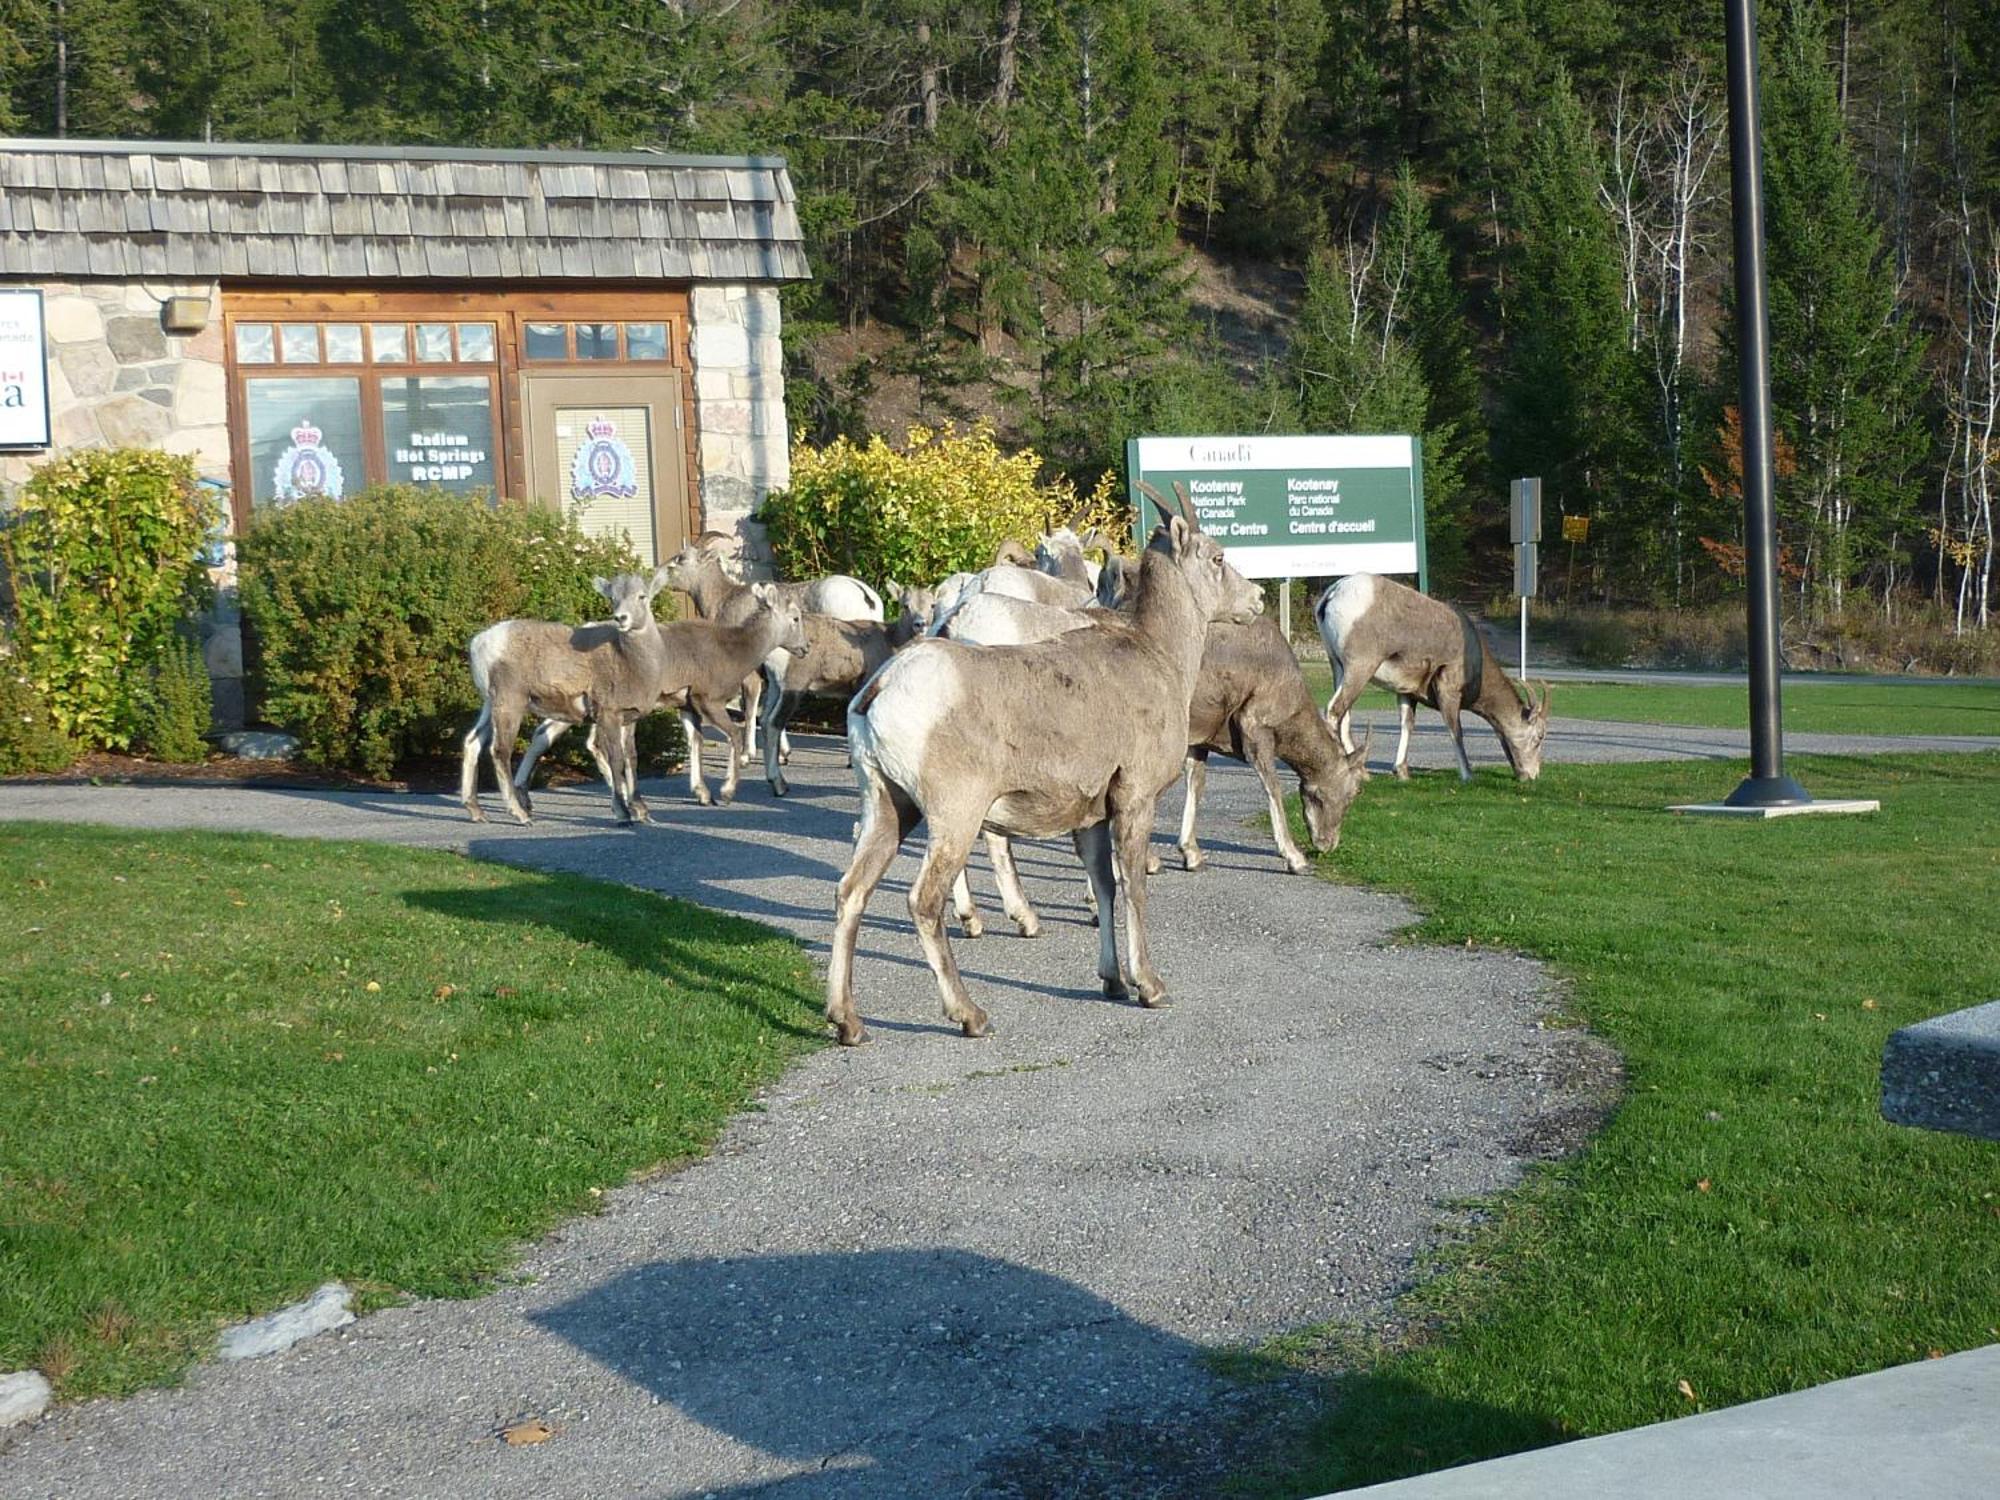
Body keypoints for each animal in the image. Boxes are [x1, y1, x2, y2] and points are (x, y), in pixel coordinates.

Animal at [460, 568, 672, 828]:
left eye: (642, 596)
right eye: (612, 598)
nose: (621, 618)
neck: (628, 660)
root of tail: (479, 643)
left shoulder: (629, 720)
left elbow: (631, 760)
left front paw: (643, 813)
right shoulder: (609, 717)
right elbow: (616, 761)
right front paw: (623, 814)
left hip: (490, 705)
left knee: (472, 742)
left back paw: (477, 812)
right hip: (509, 704)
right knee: (500, 751)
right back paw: (521, 815)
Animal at [824, 488, 1256, 1048]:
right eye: (1219, 558)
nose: (1256, 600)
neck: (1159, 657)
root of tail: (881, 689)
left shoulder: (1092, 815)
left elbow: (1104, 885)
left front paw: (1112, 982)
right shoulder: (1135, 800)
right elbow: (1134, 887)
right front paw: (1150, 987)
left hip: (888, 807)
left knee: (851, 892)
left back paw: (848, 1023)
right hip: (955, 818)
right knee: (924, 902)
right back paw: (971, 1014)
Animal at [1320, 576, 1552, 788]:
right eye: (1539, 737)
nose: (1533, 776)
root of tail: (1333, 594)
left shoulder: (1406, 692)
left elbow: (1407, 724)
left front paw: (1402, 772)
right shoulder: (1448, 692)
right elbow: (1455, 730)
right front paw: (1467, 776)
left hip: (1338, 667)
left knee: (1344, 716)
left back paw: (1363, 773)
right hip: (1360, 667)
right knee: (1334, 710)